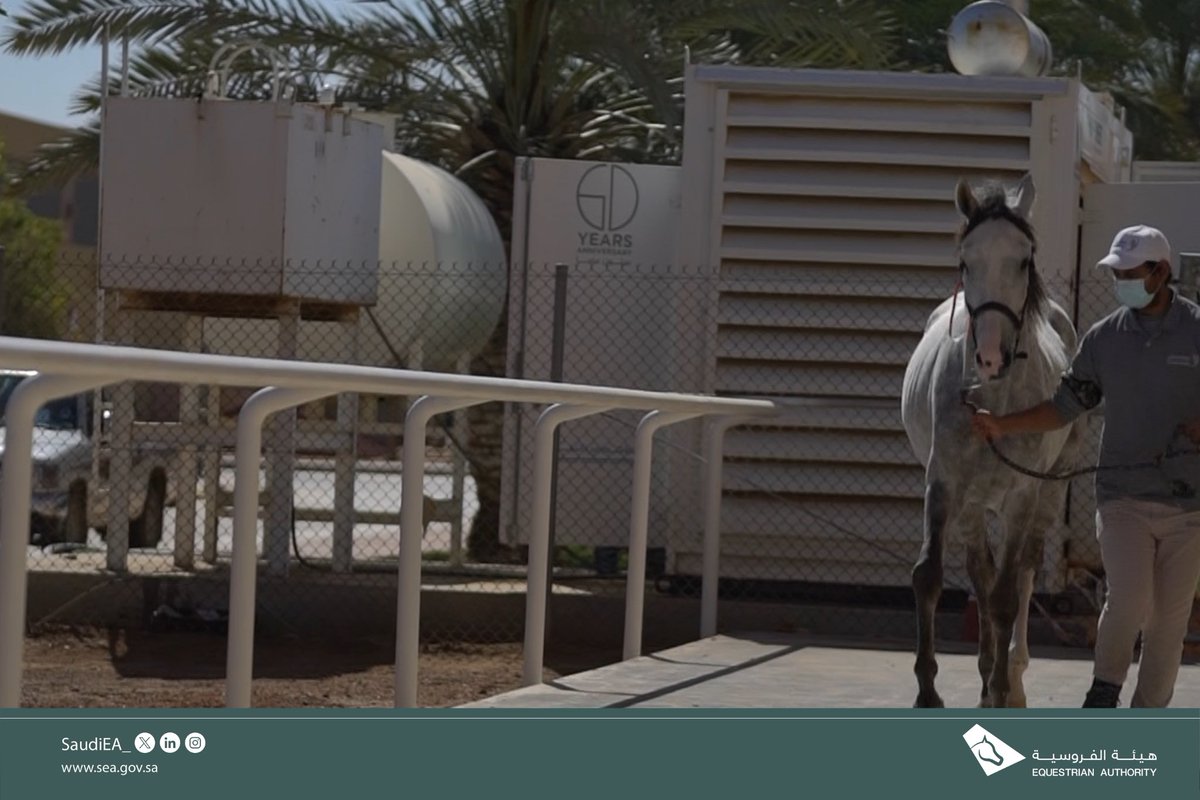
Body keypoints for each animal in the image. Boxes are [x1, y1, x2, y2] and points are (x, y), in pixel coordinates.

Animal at [900, 173, 1085, 708]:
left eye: (1024, 259)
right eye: (967, 260)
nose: (988, 355)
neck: (992, 399)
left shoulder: (1022, 493)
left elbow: (1005, 595)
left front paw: (1002, 688)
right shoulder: (943, 482)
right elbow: (930, 576)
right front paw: (928, 691)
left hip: (1047, 488)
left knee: (1021, 572)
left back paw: (1011, 677)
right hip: (973, 501)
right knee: (981, 572)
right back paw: (985, 674)